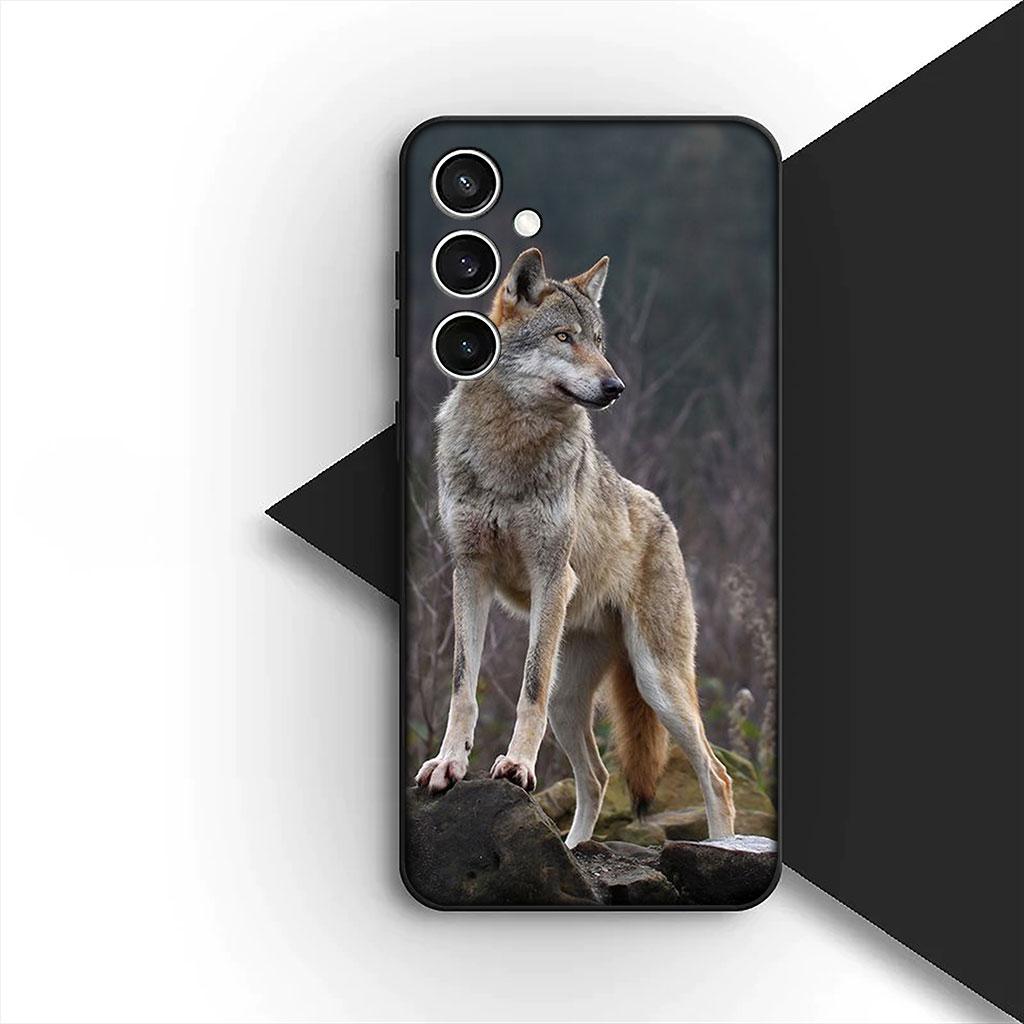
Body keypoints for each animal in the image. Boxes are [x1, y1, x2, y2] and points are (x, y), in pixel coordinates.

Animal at [415, 248, 736, 847]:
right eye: (564, 337)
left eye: (599, 341)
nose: (616, 386)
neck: (510, 446)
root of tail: (662, 514)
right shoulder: (469, 572)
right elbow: (462, 688)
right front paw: (449, 764)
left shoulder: (551, 575)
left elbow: (528, 688)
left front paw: (516, 768)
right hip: (575, 701)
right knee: (599, 776)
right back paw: (574, 848)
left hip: (658, 682)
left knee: (716, 773)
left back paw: (726, 847)